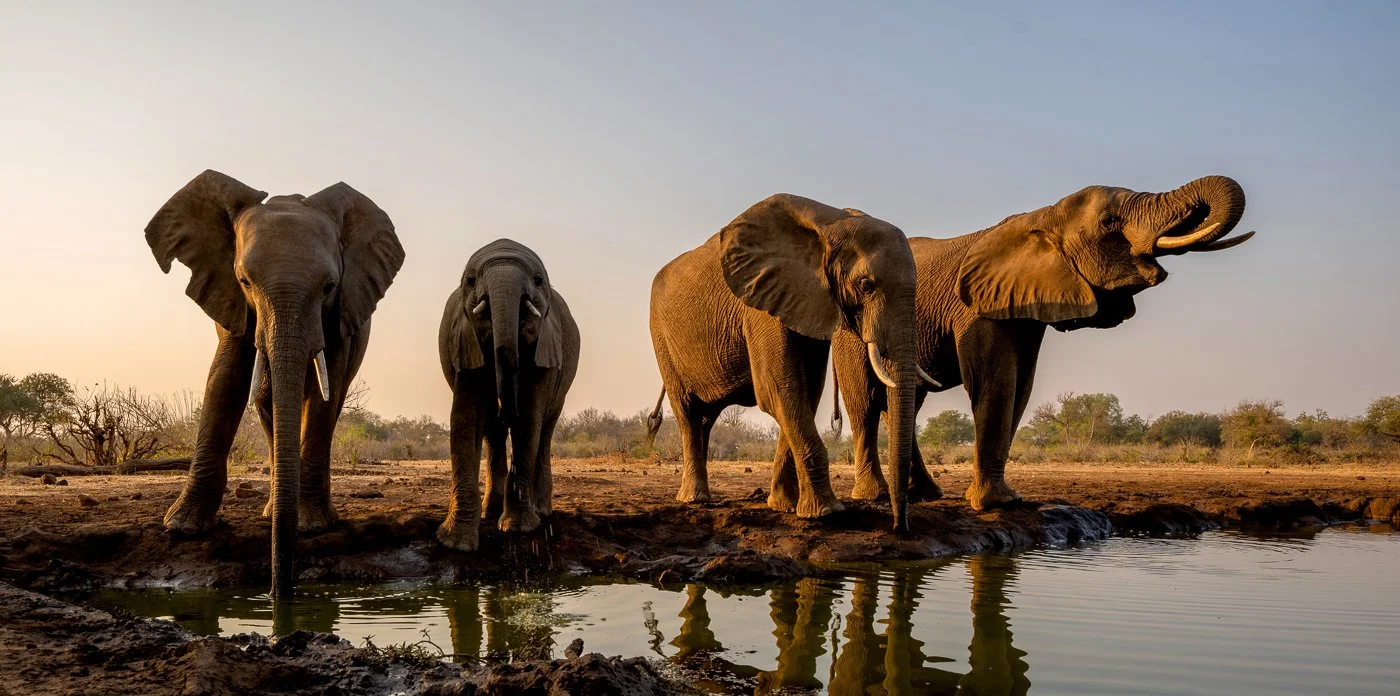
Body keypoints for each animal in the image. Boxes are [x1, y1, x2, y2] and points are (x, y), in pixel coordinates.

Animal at [145, 170, 404, 597]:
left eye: (330, 287)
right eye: (245, 281)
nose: (277, 591)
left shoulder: (342, 311)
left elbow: (323, 391)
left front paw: (311, 526)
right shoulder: (229, 298)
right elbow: (226, 377)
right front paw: (182, 528)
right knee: (267, 401)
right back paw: (272, 508)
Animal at [438, 239, 580, 550]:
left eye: (538, 281)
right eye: (471, 281)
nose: (506, 411)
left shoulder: (545, 343)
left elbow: (528, 417)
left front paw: (518, 529)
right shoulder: (463, 339)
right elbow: (466, 418)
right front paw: (457, 544)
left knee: (545, 429)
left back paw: (542, 512)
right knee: (493, 432)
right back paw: (491, 511)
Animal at [645, 194, 924, 530]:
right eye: (866, 285)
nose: (900, 527)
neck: (832, 222)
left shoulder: (809, 300)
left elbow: (808, 391)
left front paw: (785, 506)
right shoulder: (760, 304)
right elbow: (779, 389)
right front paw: (827, 512)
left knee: (705, 418)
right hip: (661, 336)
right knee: (687, 411)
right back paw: (695, 500)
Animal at [830, 175, 1253, 510]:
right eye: (1109, 221)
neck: (1044, 217)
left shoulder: (1025, 307)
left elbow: (1021, 386)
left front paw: (1006, 499)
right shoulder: (976, 309)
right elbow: (994, 384)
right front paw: (994, 504)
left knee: (904, 403)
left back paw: (925, 494)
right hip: (850, 331)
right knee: (864, 401)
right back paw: (873, 496)